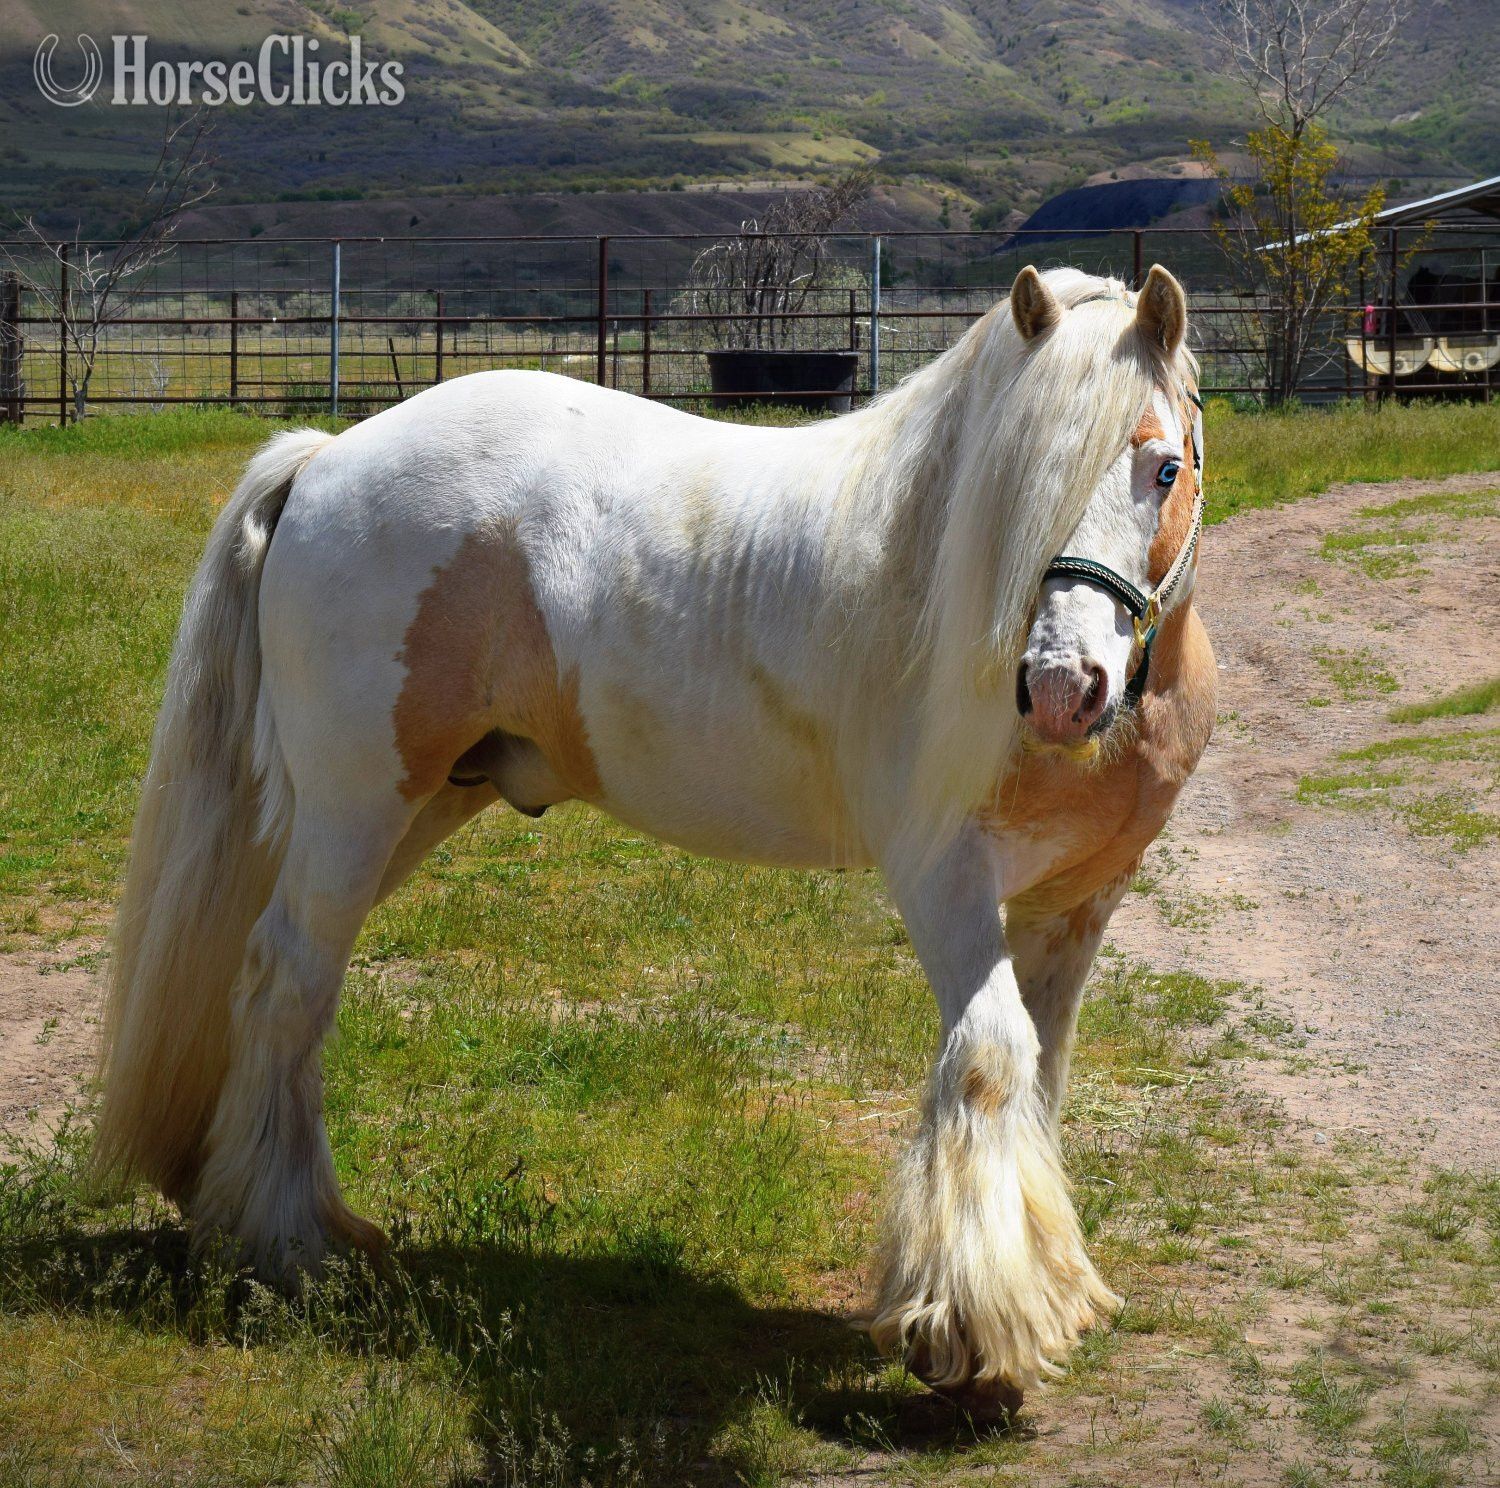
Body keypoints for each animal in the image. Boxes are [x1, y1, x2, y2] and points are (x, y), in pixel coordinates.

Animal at [95, 263, 1215, 1418]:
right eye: (1013, 488)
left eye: (1166, 466)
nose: (1061, 689)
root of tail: (324, 459)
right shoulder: (943, 880)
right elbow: (990, 1060)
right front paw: (974, 1337)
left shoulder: (1075, 904)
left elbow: (1041, 1076)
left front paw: (1052, 1289)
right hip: (355, 805)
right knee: (287, 981)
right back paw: (290, 1243)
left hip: (406, 812)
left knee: (258, 968)